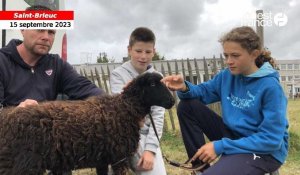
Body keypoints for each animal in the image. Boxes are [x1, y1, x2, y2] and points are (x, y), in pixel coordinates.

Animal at [0, 72, 176, 174]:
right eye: (152, 84)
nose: (172, 101)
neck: (123, 109)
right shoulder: (119, 158)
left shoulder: (103, 159)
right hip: (22, 164)